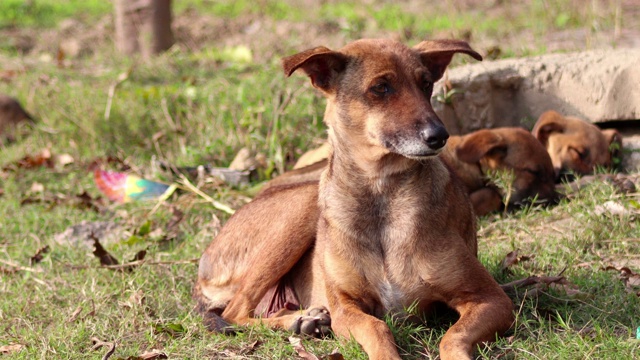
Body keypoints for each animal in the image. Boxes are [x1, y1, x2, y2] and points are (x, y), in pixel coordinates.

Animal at [195, 38, 516, 358]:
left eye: (426, 84)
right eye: (381, 87)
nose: (439, 136)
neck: (380, 194)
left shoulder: (491, 298)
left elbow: (453, 336)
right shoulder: (345, 308)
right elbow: (377, 328)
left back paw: (302, 321)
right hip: (302, 209)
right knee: (234, 313)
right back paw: (300, 320)